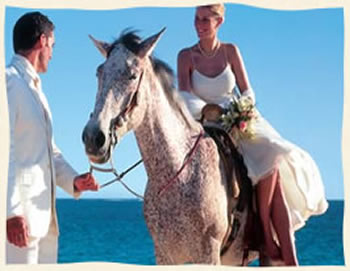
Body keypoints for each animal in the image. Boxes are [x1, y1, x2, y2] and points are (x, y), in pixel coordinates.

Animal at [80, 28, 274, 266]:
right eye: (99, 73)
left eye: (132, 75)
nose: (93, 138)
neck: (179, 172)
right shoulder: (164, 254)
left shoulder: (208, 253)